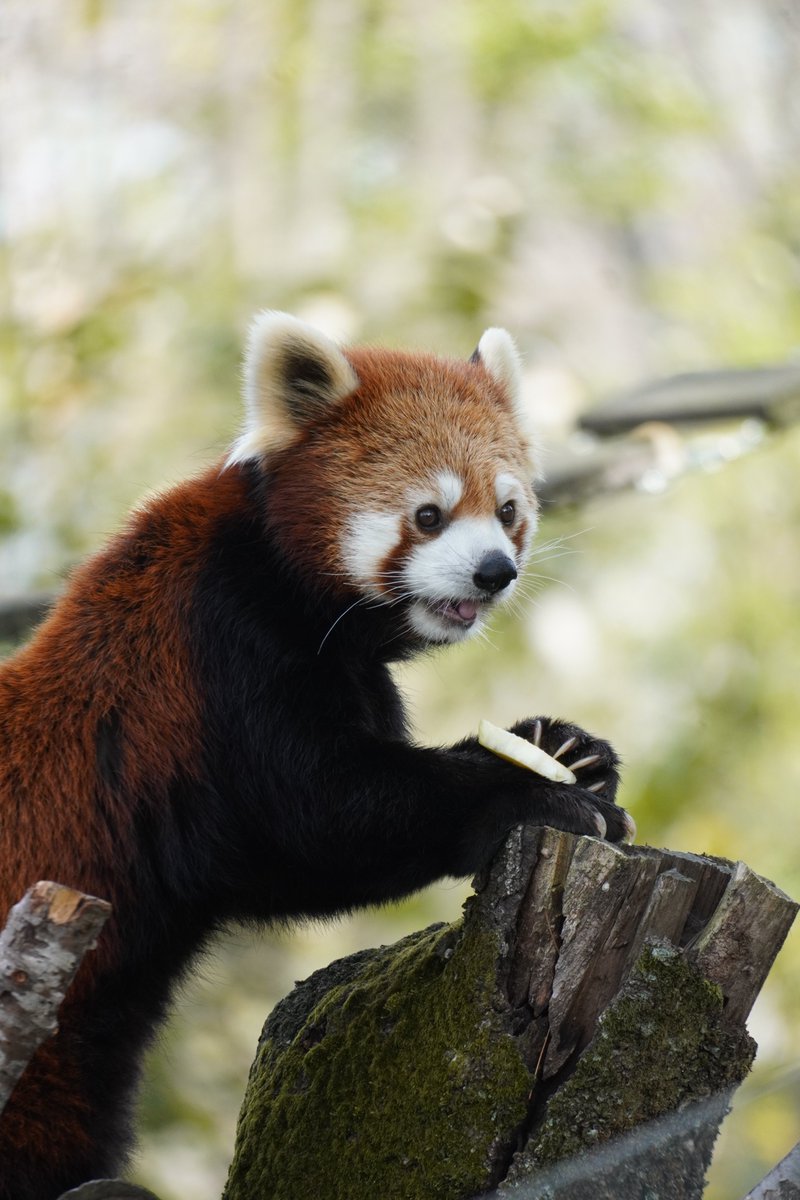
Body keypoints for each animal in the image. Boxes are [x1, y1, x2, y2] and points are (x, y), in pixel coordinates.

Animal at [0, 314, 633, 1195]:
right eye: (429, 515)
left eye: (508, 509)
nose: (495, 572)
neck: (285, 578)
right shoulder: (220, 651)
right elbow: (316, 821)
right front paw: (529, 792)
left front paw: (566, 747)